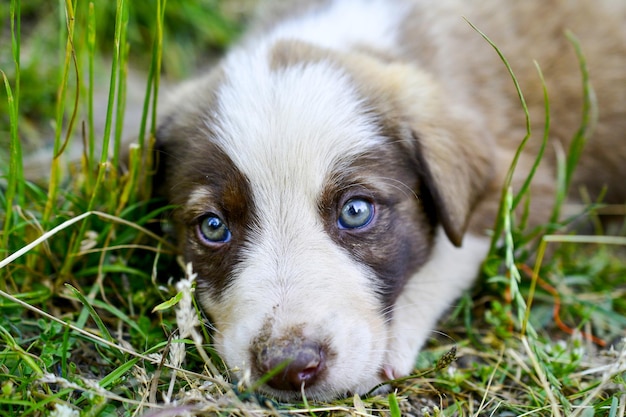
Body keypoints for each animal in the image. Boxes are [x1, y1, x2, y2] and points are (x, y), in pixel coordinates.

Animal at [152, 0, 624, 400]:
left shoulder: (526, 181)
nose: (288, 367)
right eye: (213, 227)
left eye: (355, 211)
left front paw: (391, 344)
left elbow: (453, 249)